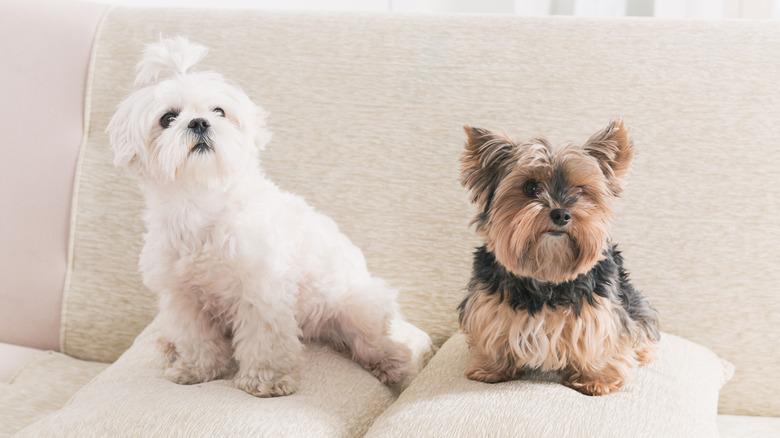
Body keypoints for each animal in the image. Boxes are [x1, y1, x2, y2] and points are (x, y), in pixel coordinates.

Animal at [110, 36, 414, 396]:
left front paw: (267, 380)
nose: (199, 122)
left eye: (219, 111)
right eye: (168, 118)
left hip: (353, 306)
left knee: (371, 340)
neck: (202, 202)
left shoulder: (261, 290)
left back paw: (390, 361)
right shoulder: (182, 297)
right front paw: (197, 369)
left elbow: (264, 340)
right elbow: (197, 340)